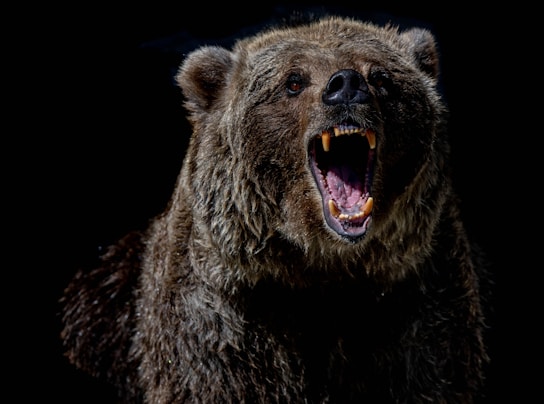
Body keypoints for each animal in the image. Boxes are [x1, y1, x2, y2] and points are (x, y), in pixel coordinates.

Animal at [60, 15, 492, 404]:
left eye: (382, 77)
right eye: (293, 81)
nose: (346, 85)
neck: (321, 269)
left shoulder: (417, 309)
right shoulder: (222, 326)